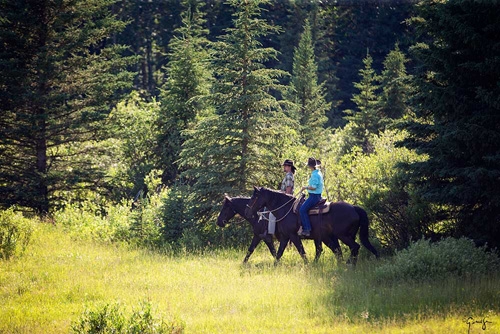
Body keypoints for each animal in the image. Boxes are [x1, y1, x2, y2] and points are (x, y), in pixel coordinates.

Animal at [243, 187, 378, 264]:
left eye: (254, 197)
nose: (247, 212)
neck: (286, 208)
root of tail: (354, 208)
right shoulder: (285, 237)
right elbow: (279, 253)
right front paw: (275, 266)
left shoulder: (293, 236)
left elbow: (301, 252)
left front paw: (307, 266)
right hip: (343, 236)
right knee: (345, 250)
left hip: (343, 236)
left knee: (354, 247)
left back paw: (349, 264)